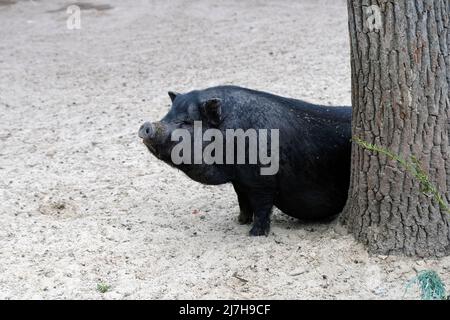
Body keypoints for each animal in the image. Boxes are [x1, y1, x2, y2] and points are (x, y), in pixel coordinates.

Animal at [139, 86, 350, 236]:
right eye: (167, 115)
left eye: (186, 122)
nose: (146, 125)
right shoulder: (239, 181)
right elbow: (242, 200)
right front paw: (239, 221)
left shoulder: (262, 182)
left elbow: (262, 207)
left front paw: (254, 234)